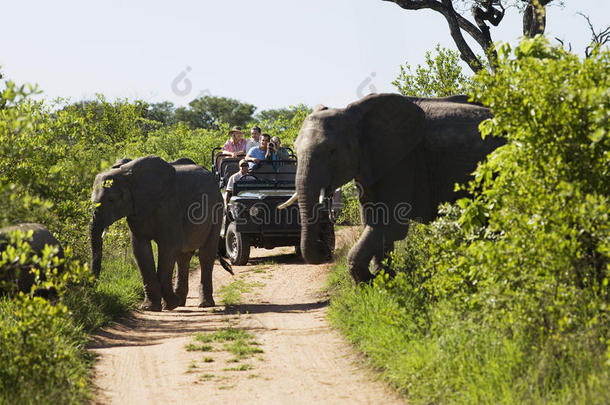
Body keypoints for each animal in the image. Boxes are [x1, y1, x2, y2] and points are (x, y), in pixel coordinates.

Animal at [89, 156, 232, 310]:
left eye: (111, 200)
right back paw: (180, 302)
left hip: (217, 210)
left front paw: (169, 305)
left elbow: (169, 247)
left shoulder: (169, 207)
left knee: (205, 255)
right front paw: (150, 307)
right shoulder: (136, 211)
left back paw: (204, 304)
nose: (94, 287)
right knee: (183, 258)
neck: (127, 176)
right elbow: (140, 250)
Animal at [290, 94, 504, 284]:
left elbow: (391, 223)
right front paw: (384, 279)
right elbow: (370, 220)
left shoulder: (402, 161)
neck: (355, 116)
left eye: (332, 151)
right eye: (295, 150)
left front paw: (370, 281)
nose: (323, 248)